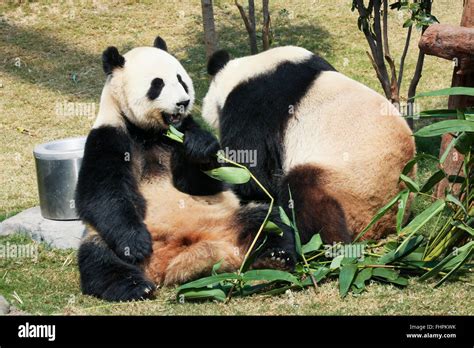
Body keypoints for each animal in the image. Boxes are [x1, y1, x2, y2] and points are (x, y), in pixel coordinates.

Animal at [76, 36, 294, 302]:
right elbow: (101, 194)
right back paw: (135, 286)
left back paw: (274, 258)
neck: (150, 133)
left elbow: (203, 183)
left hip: (227, 218)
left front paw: (199, 148)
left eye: (181, 79)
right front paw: (136, 243)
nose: (183, 102)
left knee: (267, 221)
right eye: (157, 84)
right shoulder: (109, 135)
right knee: (99, 256)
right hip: (105, 237)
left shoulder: (185, 129)